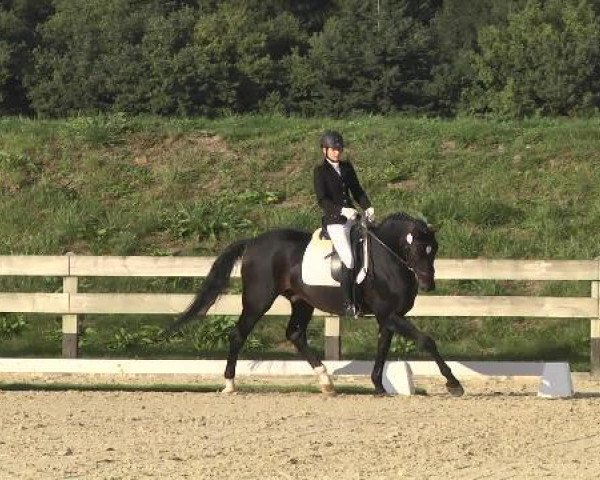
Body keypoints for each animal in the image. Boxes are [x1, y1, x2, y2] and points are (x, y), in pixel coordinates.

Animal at [166, 212, 466, 396]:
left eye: (434, 249)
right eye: (415, 249)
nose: (428, 284)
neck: (387, 259)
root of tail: (252, 242)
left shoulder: (388, 317)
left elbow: (382, 349)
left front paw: (379, 386)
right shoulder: (389, 314)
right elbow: (427, 341)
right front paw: (453, 384)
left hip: (301, 301)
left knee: (295, 334)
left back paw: (326, 382)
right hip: (258, 300)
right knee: (238, 334)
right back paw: (229, 384)